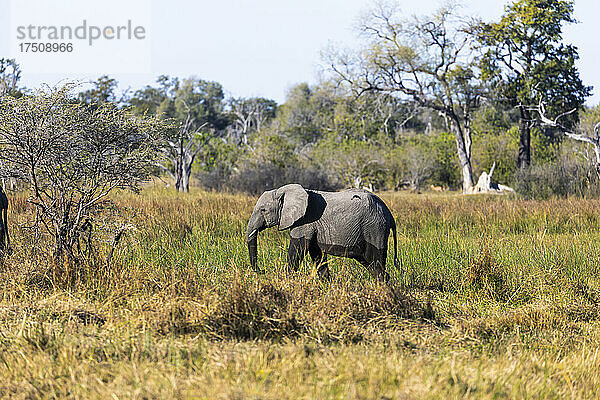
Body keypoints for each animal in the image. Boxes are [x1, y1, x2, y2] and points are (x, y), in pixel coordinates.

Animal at [246, 184, 400, 282]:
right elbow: (317, 254)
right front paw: (326, 285)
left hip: (375, 229)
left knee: (376, 262)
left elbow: (298, 249)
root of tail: (389, 214)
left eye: (263, 210)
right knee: (370, 264)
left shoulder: (305, 221)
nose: (263, 271)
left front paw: (287, 281)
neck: (284, 190)